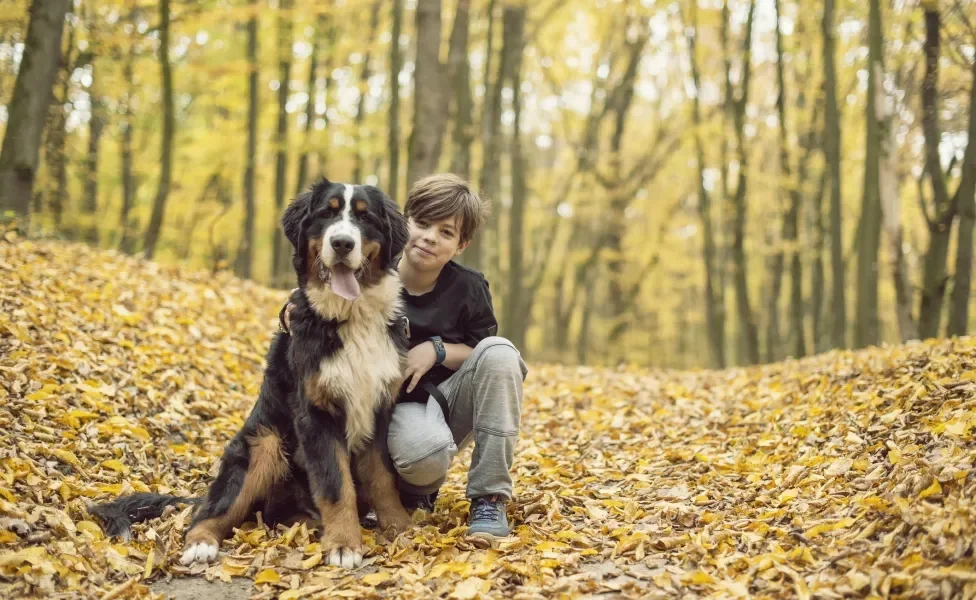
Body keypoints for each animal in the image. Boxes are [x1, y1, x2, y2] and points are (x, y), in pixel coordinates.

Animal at [86, 177, 416, 568]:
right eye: (327, 214)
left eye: (365, 219)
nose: (342, 243)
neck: (350, 318)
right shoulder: (315, 414)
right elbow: (336, 485)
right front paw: (344, 544)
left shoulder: (379, 407)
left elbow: (382, 476)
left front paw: (400, 528)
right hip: (262, 444)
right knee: (210, 514)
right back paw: (201, 544)